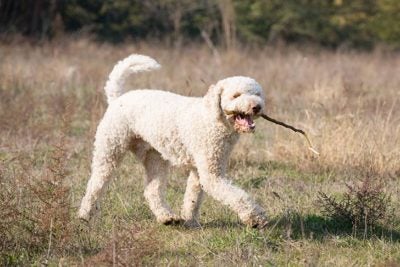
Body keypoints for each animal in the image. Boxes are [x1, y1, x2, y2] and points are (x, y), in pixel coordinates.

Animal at [77, 54, 268, 228]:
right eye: (236, 95)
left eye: (257, 94)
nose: (256, 106)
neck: (213, 119)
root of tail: (117, 98)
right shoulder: (211, 174)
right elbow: (236, 195)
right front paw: (256, 218)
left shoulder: (201, 170)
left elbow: (193, 198)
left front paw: (190, 222)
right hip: (110, 151)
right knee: (95, 184)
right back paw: (84, 215)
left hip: (155, 158)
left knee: (151, 190)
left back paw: (167, 217)